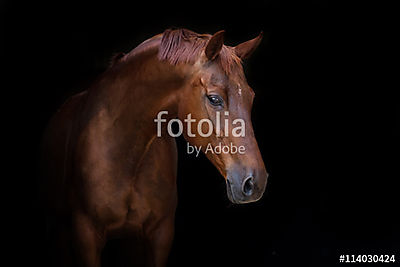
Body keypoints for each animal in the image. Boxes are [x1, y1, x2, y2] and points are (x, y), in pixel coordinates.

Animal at [41, 28, 268, 266]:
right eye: (214, 99)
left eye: (251, 97)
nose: (255, 182)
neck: (125, 152)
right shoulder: (85, 235)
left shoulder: (160, 235)